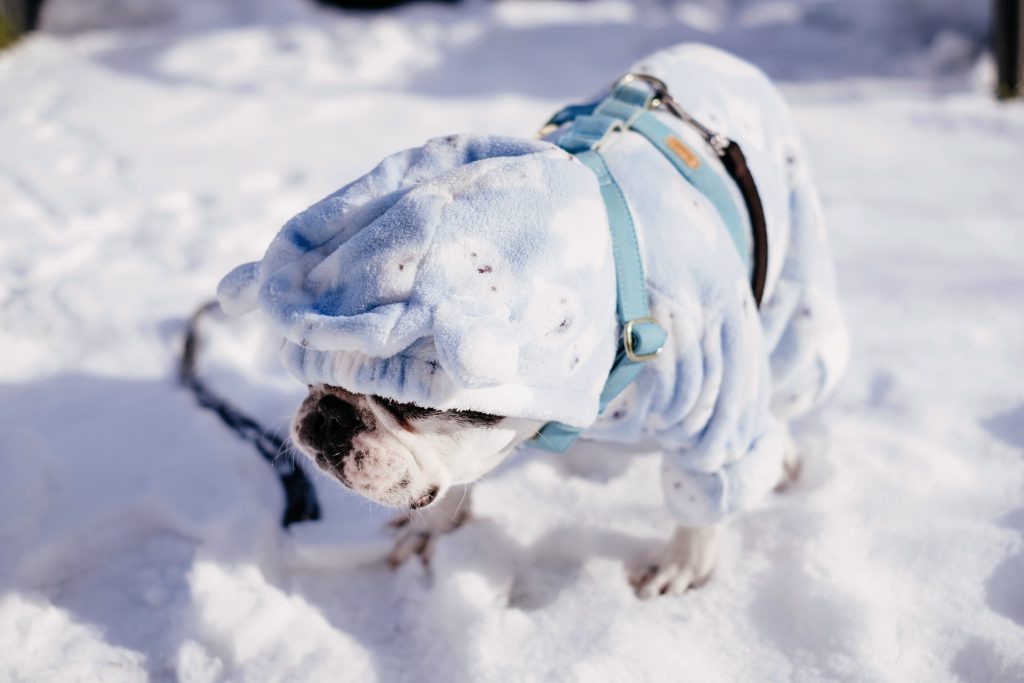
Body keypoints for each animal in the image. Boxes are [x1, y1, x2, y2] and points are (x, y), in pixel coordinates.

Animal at [220, 42, 851, 598]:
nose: (330, 415)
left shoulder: (712, 394)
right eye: (309, 376)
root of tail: (717, 55)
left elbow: (708, 487)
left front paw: (683, 566)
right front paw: (433, 531)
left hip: (793, 287)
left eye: (415, 405)